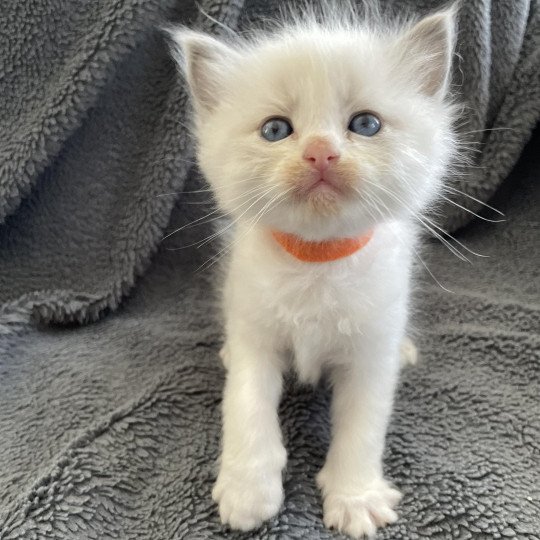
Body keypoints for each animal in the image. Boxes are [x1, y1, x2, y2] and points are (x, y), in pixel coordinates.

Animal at [170, 3, 456, 536]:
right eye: (276, 130)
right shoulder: (256, 332)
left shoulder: (370, 347)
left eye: (365, 124)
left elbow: (363, 426)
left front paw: (356, 498)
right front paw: (247, 490)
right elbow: (245, 406)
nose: (321, 151)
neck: (317, 262)